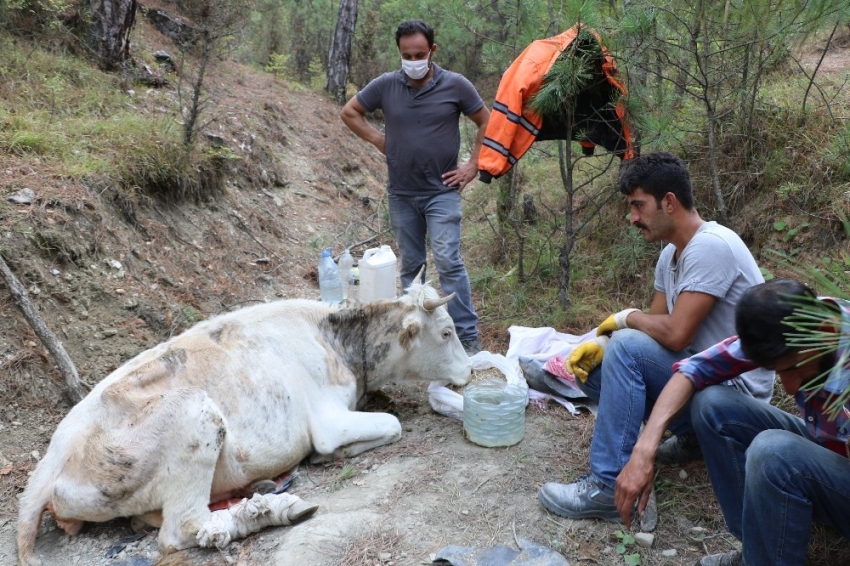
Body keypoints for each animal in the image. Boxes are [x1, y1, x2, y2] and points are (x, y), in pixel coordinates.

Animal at [18, 282, 470, 564]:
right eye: (447, 332)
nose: (468, 373)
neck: (339, 344)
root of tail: (54, 452)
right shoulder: (328, 421)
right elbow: (391, 424)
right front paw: (333, 456)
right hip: (195, 414)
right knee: (181, 529)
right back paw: (270, 510)